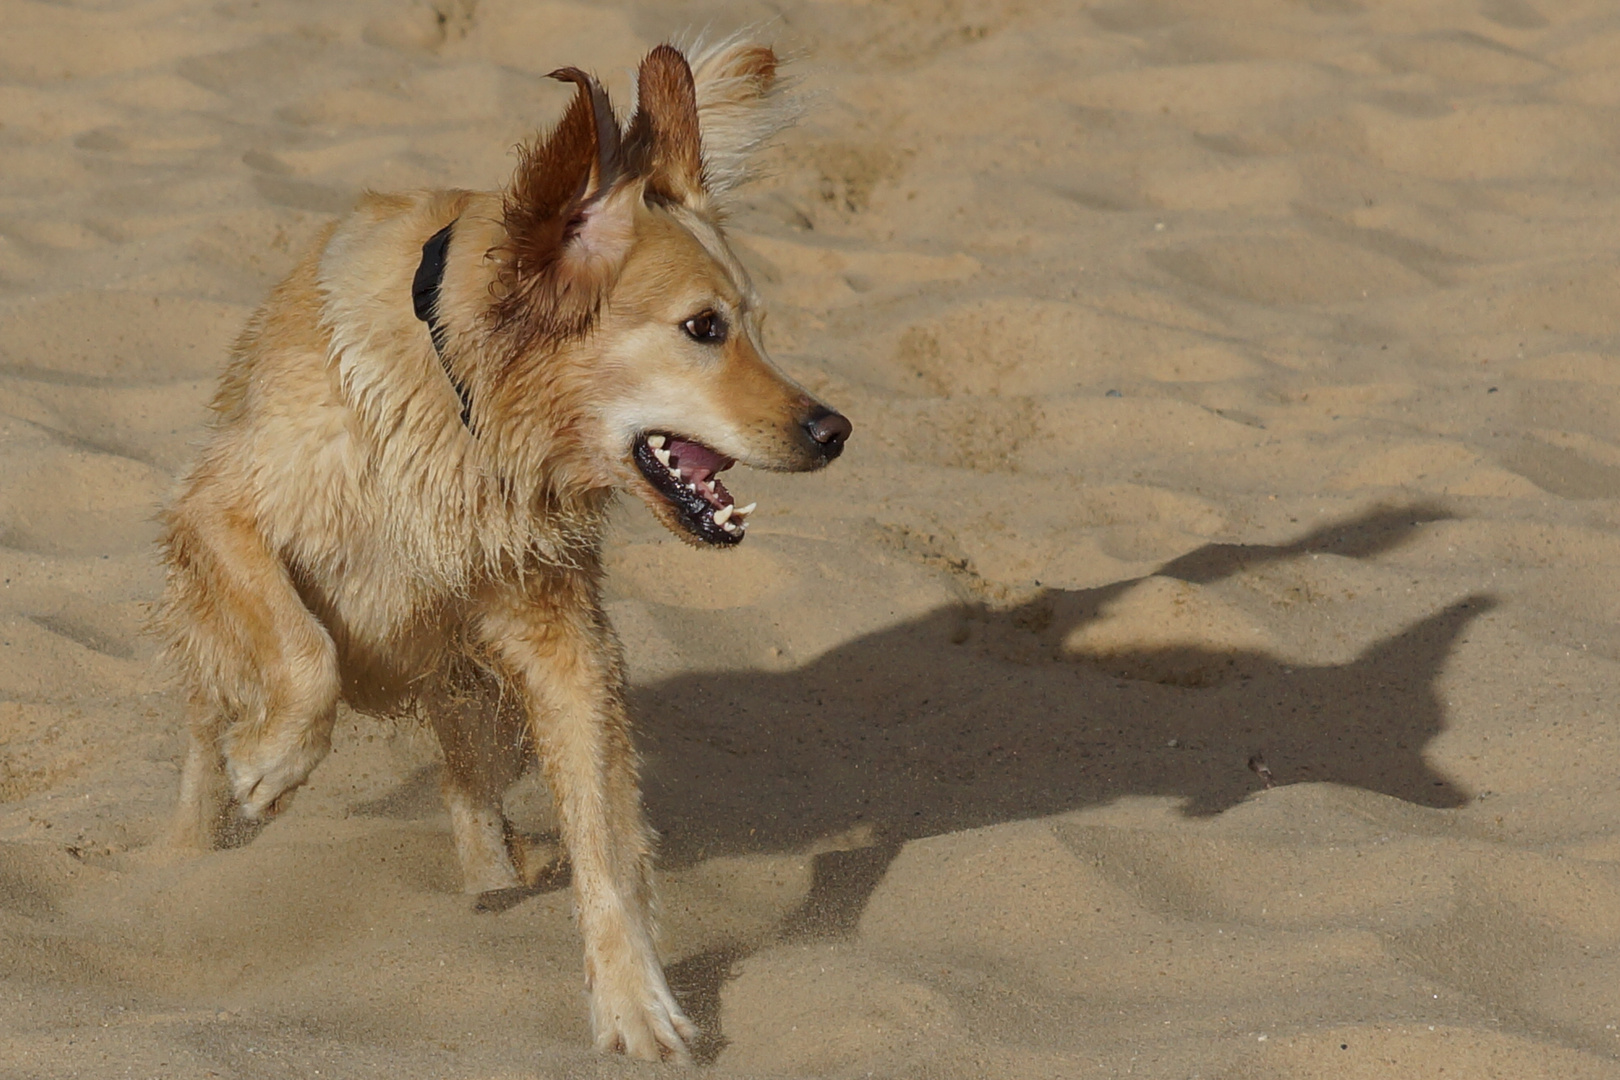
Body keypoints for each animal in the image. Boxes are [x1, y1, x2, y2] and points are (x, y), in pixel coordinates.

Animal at [154, 38, 848, 1062]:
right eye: (703, 328)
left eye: (754, 321)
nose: (834, 430)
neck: (463, 412)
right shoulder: (218, 511)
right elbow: (307, 650)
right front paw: (273, 765)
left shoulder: (565, 640)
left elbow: (606, 838)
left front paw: (635, 1002)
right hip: (219, 637)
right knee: (209, 740)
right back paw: (185, 857)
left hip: (462, 683)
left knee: (472, 799)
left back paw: (491, 879)